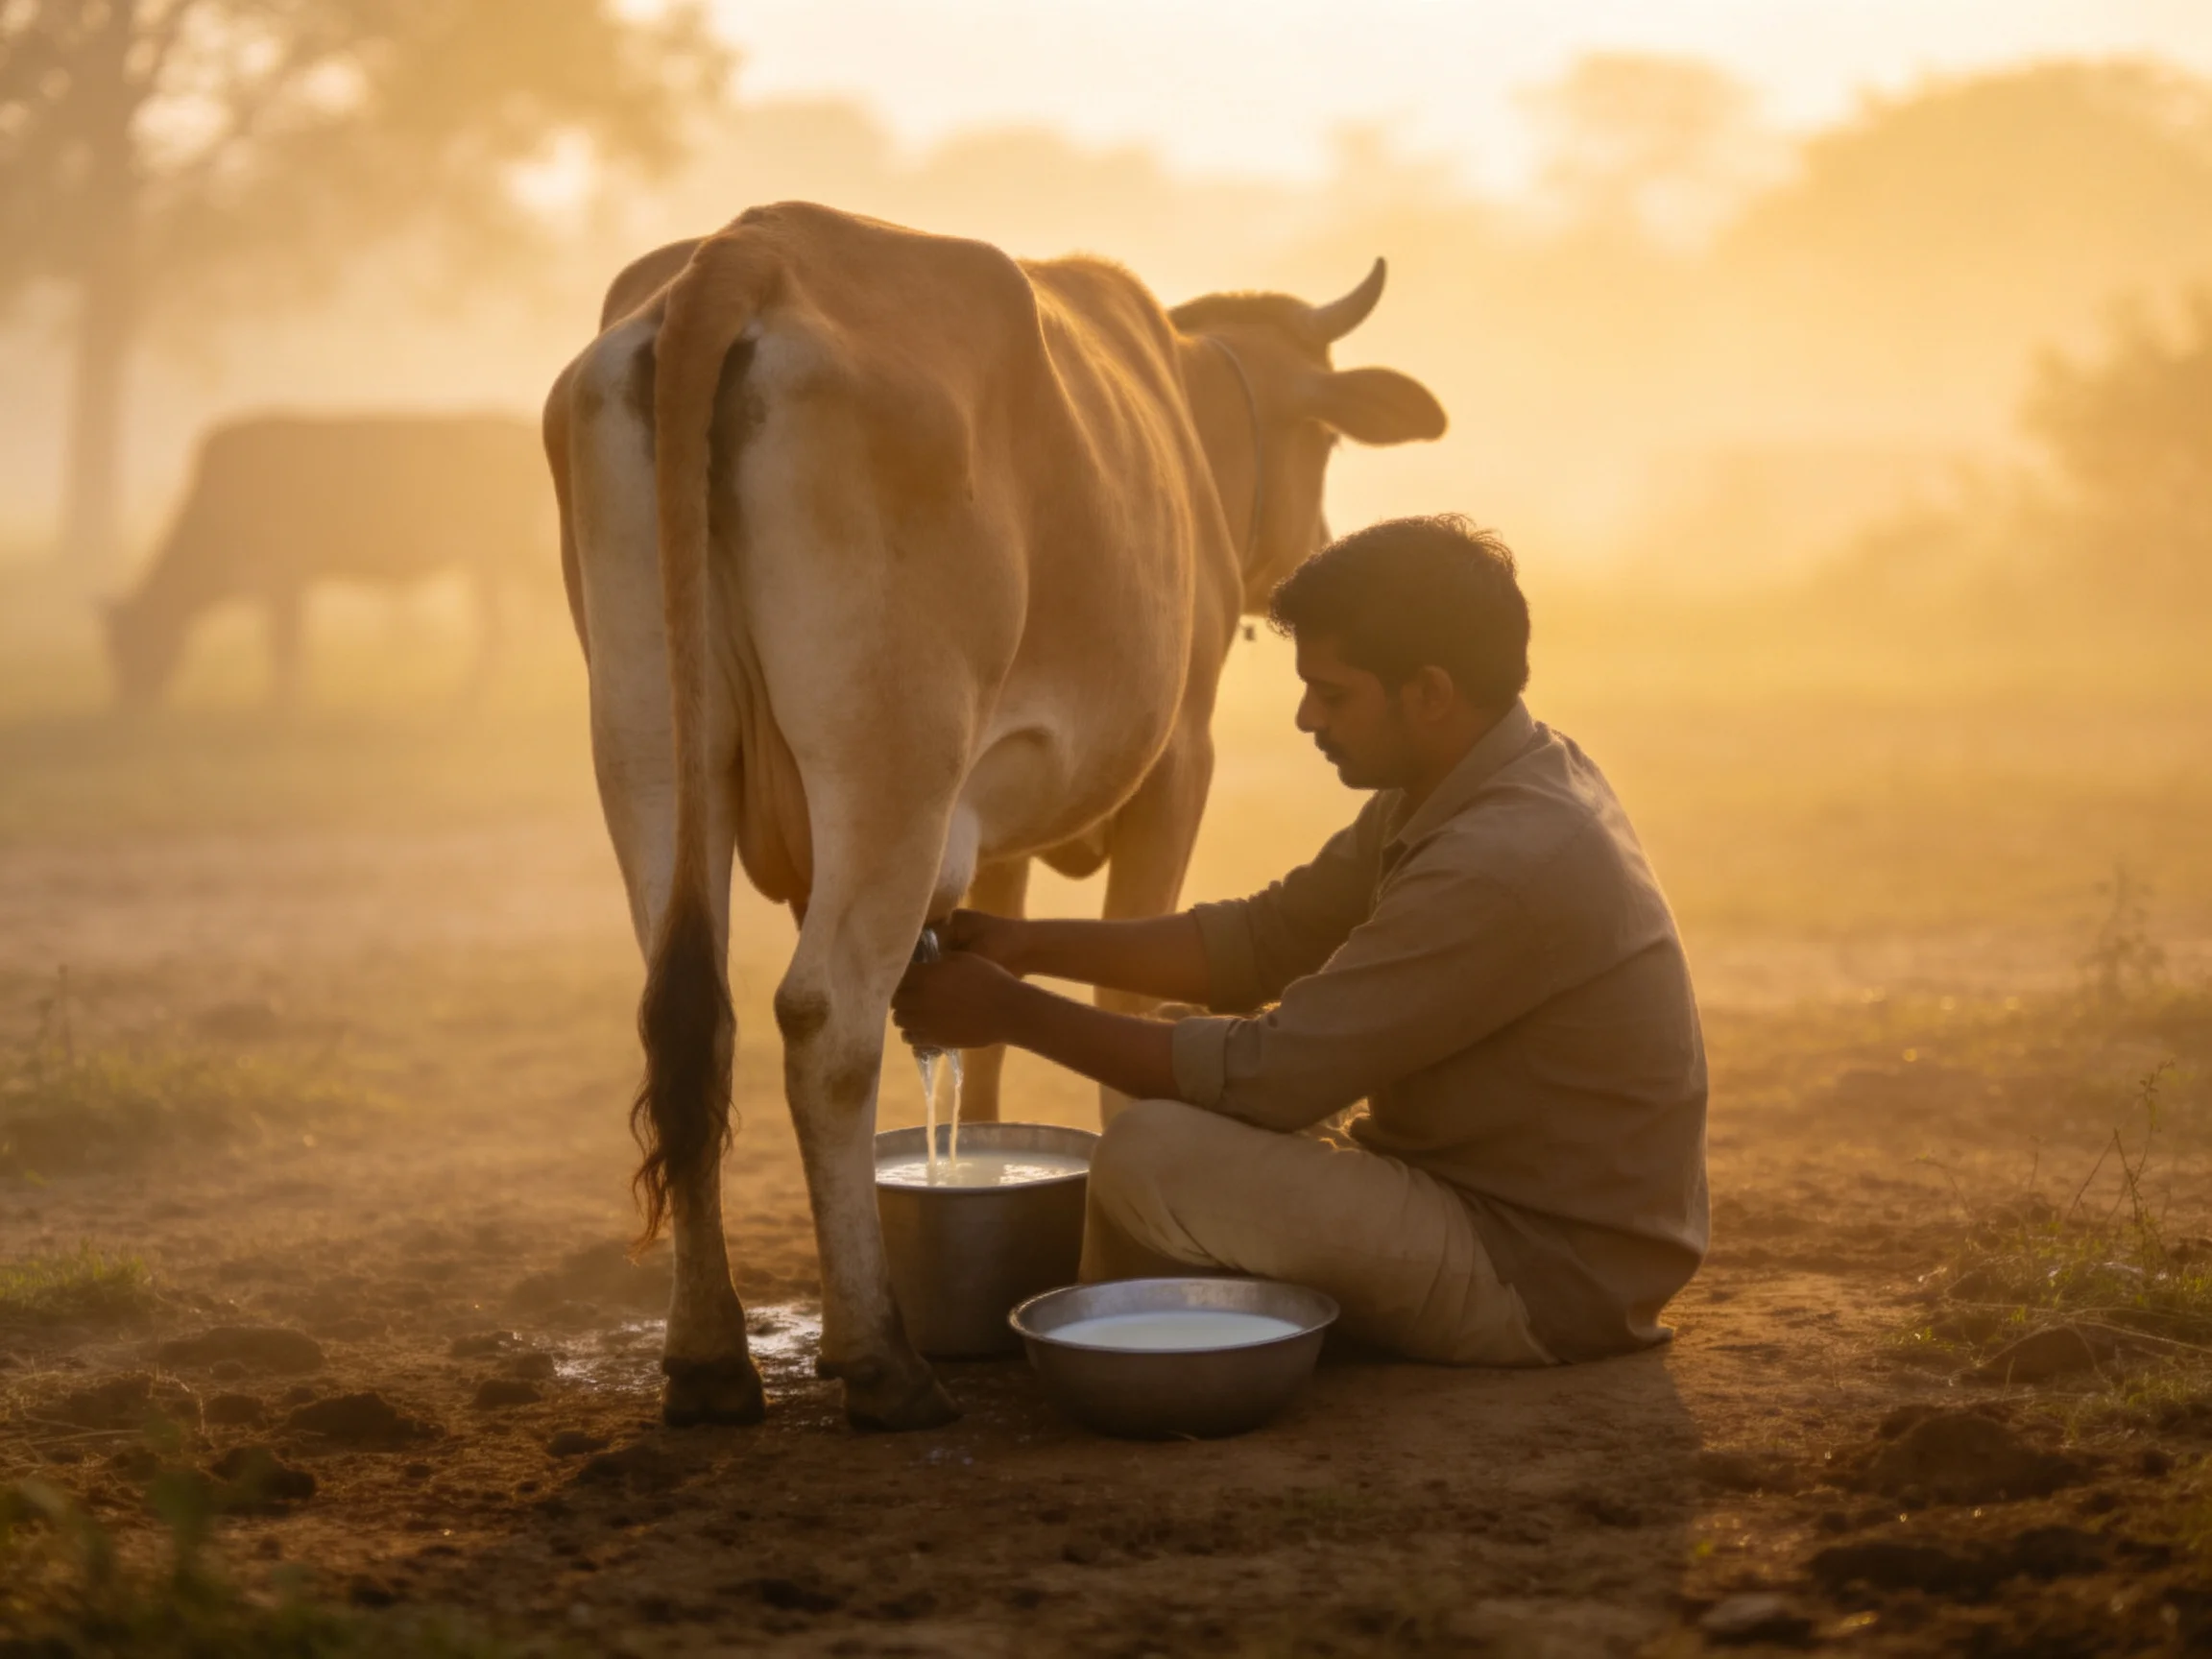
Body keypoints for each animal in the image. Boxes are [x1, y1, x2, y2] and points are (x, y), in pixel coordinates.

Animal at [105, 413, 556, 708]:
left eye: (130, 641)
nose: (128, 705)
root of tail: (515, 426)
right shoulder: (288, 580)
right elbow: (290, 638)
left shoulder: (283, 570)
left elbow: (284, 640)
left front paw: (282, 705)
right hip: (507, 551)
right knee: (533, 596)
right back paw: (523, 679)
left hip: (490, 550)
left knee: (501, 620)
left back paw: (473, 693)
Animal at [542, 202, 1446, 1431]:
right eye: (1327, 440)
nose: (1307, 554)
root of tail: (750, 246)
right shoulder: (1180, 760)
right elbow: (1127, 996)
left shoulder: (994, 818)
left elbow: (986, 1043)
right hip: (894, 754)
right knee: (827, 1022)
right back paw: (880, 1360)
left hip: (647, 744)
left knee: (688, 1015)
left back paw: (711, 1359)